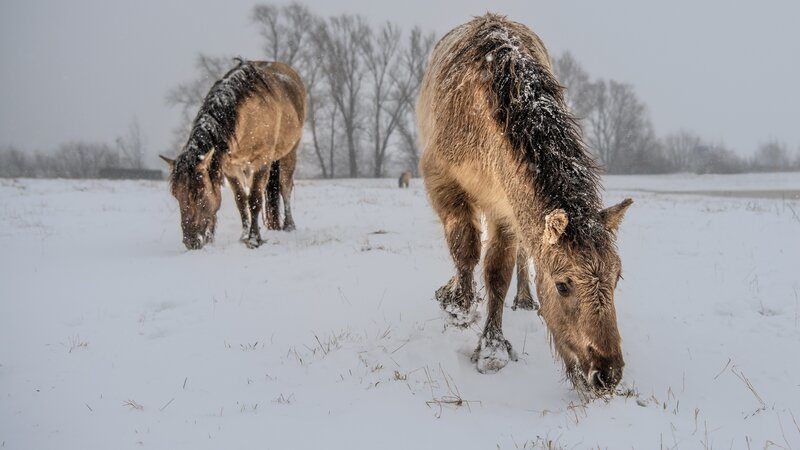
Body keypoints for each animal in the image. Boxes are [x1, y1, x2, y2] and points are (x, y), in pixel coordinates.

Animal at [160, 59, 305, 250]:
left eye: (200, 194)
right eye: (177, 196)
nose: (191, 242)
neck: (245, 116)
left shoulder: (262, 162)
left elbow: (255, 199)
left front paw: (254, 239)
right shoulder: (230, 167)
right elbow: (241, 200)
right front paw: (244, 236)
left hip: (289, 153)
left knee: (285, 187)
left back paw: (289, 226)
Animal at [417, 14, 633, 396]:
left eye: (617, 277)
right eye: (563, 285)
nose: (607, 373)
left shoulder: (505, 206)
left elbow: (498, 271)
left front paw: (492, 346)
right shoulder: (443, 183)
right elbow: (464, 248)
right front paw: (459, 307)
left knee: (521, 256)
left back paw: (524, 299)